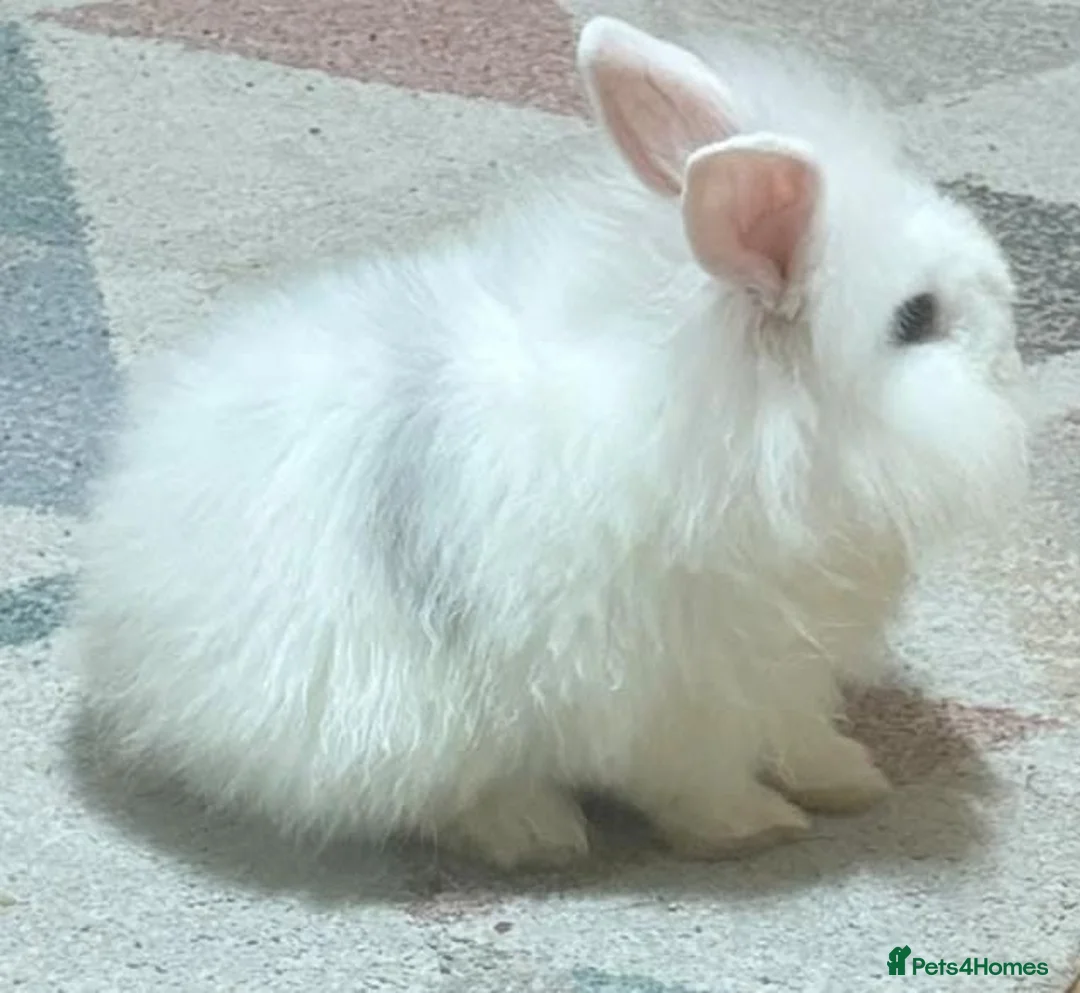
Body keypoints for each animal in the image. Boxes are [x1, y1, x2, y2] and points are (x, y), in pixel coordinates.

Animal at [72, 16, 1029, 870]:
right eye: (915, 318)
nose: (1013, 340)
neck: (744, 415)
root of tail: (123, 606)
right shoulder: (674, 693)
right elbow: (699, 780)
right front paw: (755, 828)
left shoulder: (783, 671)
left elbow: (799, 732)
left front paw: (851, 779)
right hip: (393, 723)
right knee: (446, 793)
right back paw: (536, 834)